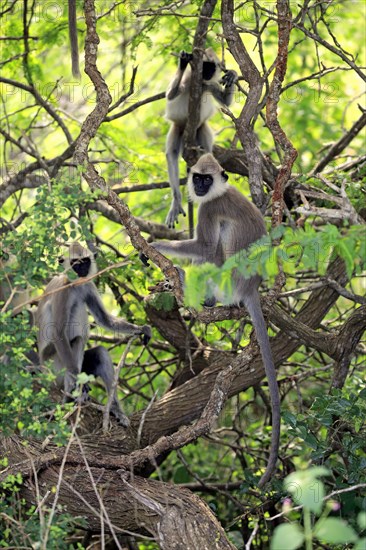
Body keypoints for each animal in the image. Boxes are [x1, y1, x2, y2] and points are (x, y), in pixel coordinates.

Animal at [36, 244, 151, 430]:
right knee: (76, 337)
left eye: (85, 261)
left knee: (100, 353)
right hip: (52, 366)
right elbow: (58, 333)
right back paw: (72, 396)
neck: (75, 284)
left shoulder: (87, 285)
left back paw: (115, 409)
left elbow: (104, 319)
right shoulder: (64, 290)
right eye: (75, 263)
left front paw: (142, 329)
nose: (82, 269)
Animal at [140, 155, 280, 488]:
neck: (219, 192)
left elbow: (204, 246)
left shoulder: (210, 208)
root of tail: (250, 288)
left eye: (207, 179)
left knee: (214, 246)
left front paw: (154, 244)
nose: (199, 187)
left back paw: (187, 284)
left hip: (225, 278)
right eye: (198, 178)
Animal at [165, 48, 237, 229]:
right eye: (204, 66)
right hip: (178, 129)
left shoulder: (208, 84)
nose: (208, 73)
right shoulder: (188, 82)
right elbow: (170, 95)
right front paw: (183, 61)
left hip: (200, 130)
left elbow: (225, 102)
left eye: (212, 67)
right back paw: (176, 200)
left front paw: (233, 74)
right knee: (172, 154)